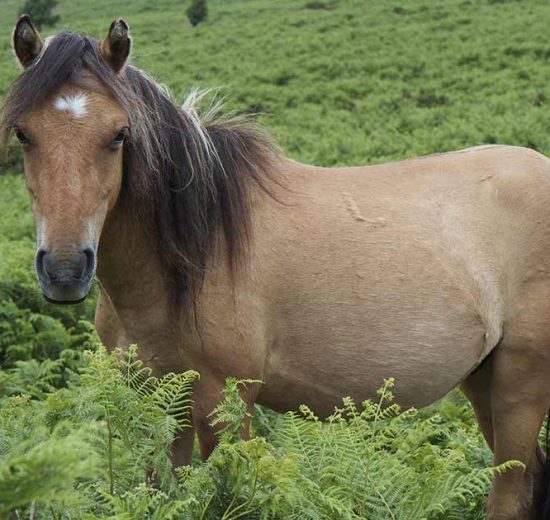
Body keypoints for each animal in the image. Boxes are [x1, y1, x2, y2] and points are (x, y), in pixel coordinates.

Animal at [3, 14, 550, 516]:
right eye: (24, 134)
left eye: (119, 135)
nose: (65, 270)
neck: (188, 259)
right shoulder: (155, 401)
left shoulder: (224, 402)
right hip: (482, 378)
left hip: (520, 384)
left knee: (510, 487)